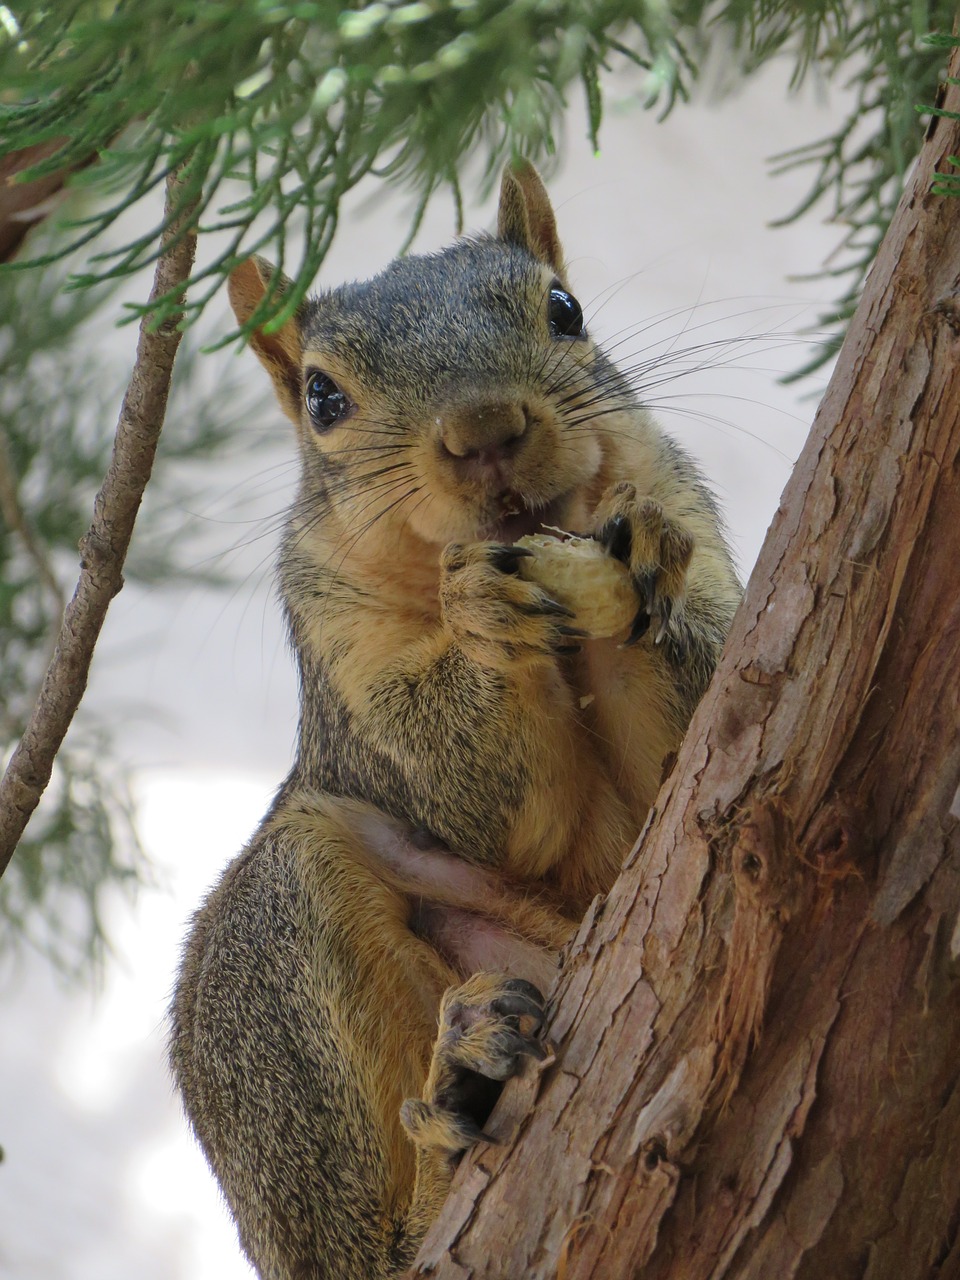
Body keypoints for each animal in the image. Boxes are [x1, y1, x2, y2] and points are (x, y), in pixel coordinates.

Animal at [168, 162, 742, 1280]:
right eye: (322, 395)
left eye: (565, 309)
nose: (485, 432)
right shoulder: (345, 669)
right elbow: (470, 794)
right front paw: (480, 619)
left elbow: (698, 726)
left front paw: (642, 554)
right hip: (274, 964)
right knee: (367, 1245)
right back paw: (450, 1118)